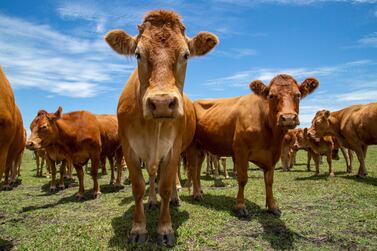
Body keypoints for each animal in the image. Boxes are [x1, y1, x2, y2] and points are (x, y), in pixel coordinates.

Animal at [104, 9, 219, 245]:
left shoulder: (173, 149)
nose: (162, 102)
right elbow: (139, 186)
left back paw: (176, 197)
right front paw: (138, 228)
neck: (152, 127)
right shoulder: (129, 149)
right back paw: (152, 201)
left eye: (186, 55)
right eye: (138, 54)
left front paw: (165, 229)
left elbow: (165, 185)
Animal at [185, 74, 318, 218]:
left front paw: (272, 206)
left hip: (201, 147)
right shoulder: (241, 151)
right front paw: (240, 206)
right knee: (193, 168)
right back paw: (196, 194)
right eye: (271, 95)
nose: (288, 118)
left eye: (298, 95)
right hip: (192, 145)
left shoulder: (273, 155)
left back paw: (200, 191)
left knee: (198, 169)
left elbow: (269, 181)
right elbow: (243, 179)